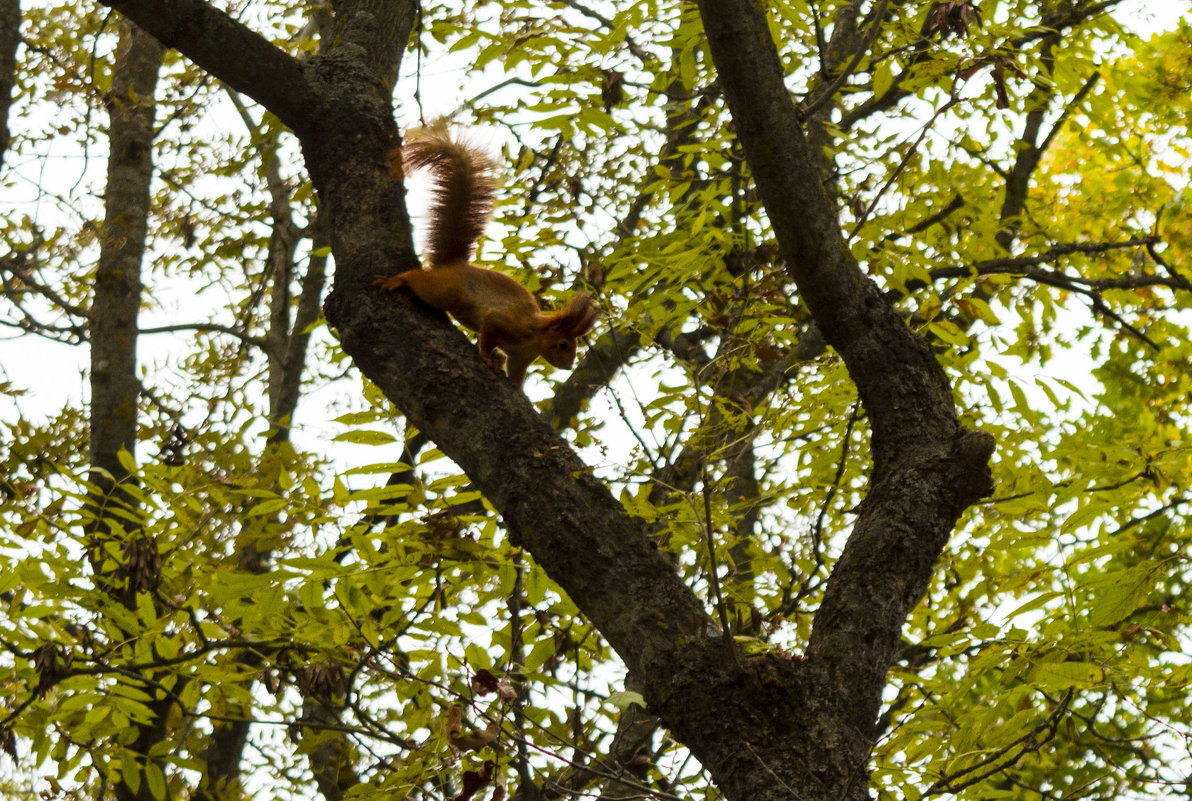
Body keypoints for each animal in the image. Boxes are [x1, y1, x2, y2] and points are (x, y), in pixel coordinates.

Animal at [371, 124, 596, 383]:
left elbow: (516, 375)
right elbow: (488, 333)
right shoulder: (505, 322)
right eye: (563, 344)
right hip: (446, 290)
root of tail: (455, 264)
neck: (535, 333)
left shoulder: (520, 358)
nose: (568, 366)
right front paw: (488, 358)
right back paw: (396, 280)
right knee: (420, 282)